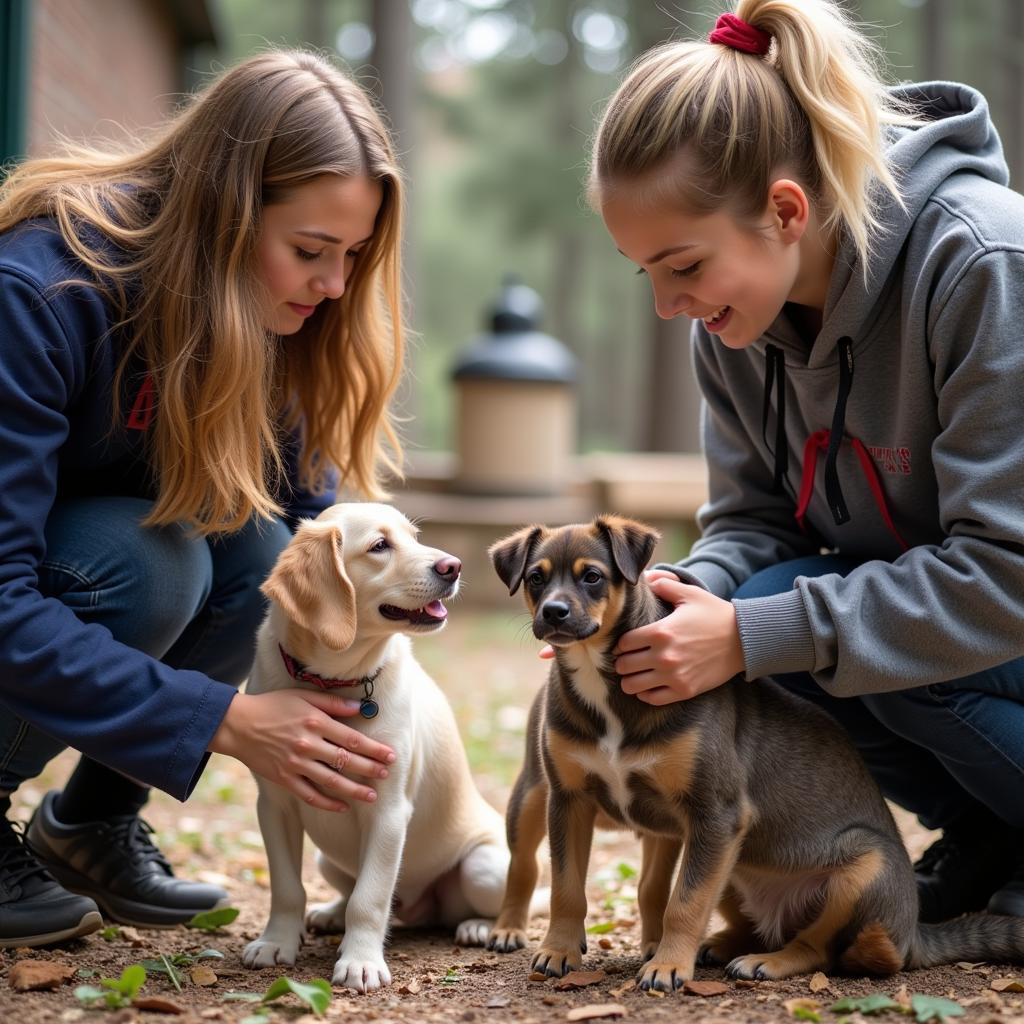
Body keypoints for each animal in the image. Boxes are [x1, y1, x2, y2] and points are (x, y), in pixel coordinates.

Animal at [240, 503, 512, 991]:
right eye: (379, 546)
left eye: (415, 537)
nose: (454, 566)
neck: (336, 681)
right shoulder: (274, 804)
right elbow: (287, 888)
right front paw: (276, 942)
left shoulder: (387, 810)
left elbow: (369, 898)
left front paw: (361, 961)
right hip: (329, 861)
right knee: (349, 889)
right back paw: (330, 914)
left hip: (484, 868)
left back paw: (480, 927)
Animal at [485, 516, 1024, 987]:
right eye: (536, 578)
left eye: (593, 577)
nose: (552, 613)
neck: (604, 685)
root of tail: (912, 933)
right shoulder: (570, 800)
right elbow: (567, 888)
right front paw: (559, 950)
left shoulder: (714, 812)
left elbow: (683, 901)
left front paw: (667, 966)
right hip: (678, 846)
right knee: (530, 866)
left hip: (858, 871)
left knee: (825, 948)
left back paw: (763, 961)